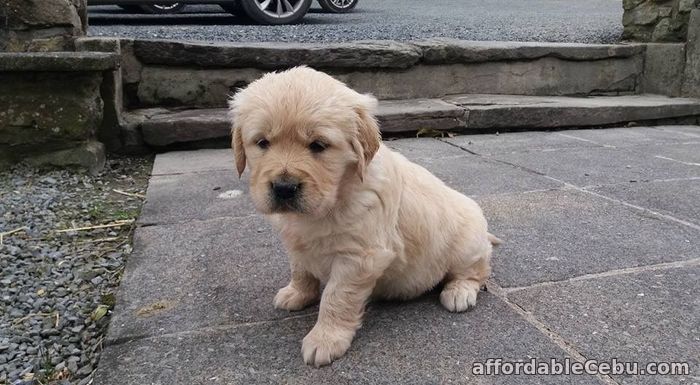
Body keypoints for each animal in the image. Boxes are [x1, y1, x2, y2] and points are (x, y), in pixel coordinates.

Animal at [228, 66, 498, 366]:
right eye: (262, 142)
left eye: (318, 145)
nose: (284, 188)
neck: (336, 197)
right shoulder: (297, 242)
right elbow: (301, 269)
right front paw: (297, 294)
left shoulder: (360, 257)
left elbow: (336, 296)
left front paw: (325, 339)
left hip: (466, 246)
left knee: (476, 271)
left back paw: (459, 292)